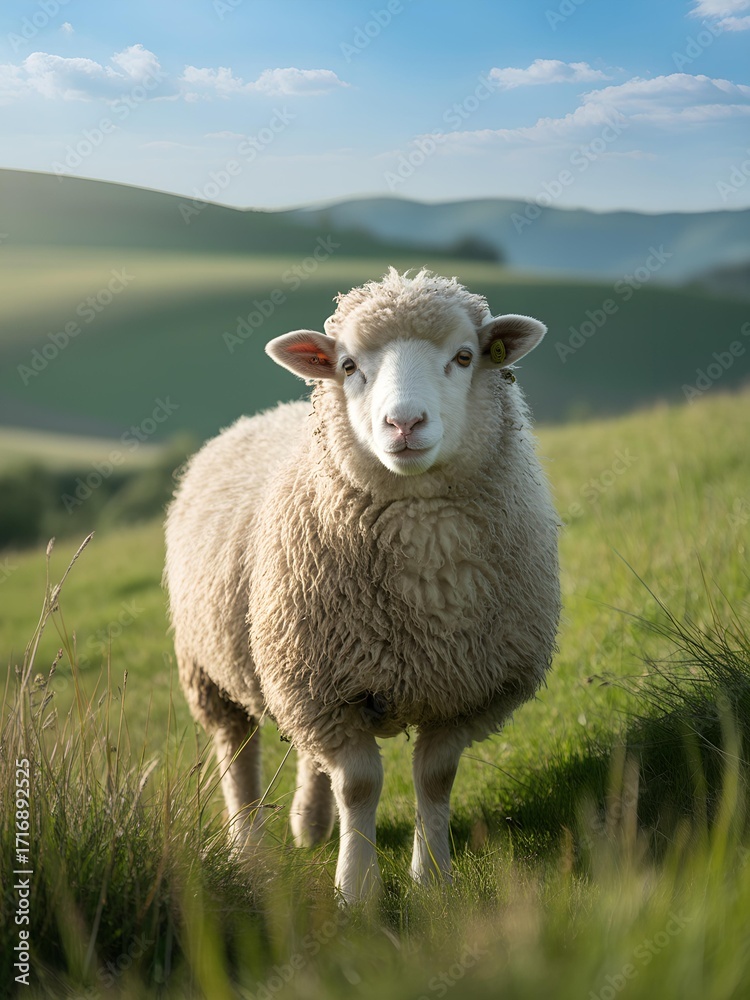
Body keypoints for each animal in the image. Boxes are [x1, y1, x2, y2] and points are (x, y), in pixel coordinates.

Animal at [164, 267, 560, 903]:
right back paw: (247, 851)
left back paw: (310, 824)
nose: (404, 424)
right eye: (349, 365)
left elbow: (435, 778)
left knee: (308, 756)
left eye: (465, 356)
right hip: (214, 671)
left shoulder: (463, 689)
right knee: (237, 753)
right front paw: (355, 891)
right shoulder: (320, 687)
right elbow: (361, 786)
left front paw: (434, 880)